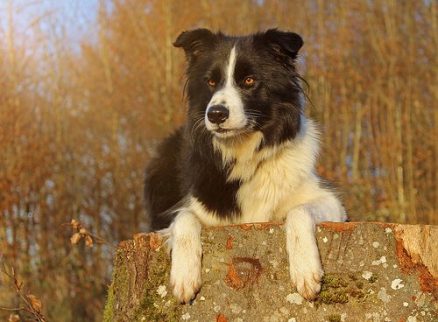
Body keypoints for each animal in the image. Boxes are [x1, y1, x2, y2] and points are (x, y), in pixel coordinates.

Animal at [145, 28, 346, 304]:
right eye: (211, 82)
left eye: (249, 81)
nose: (216, 114)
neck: (245, 153)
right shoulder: (196, 208)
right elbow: (184, 218)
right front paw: (184, 276)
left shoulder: (331, 202)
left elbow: (299, 211)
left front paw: (305, 269)